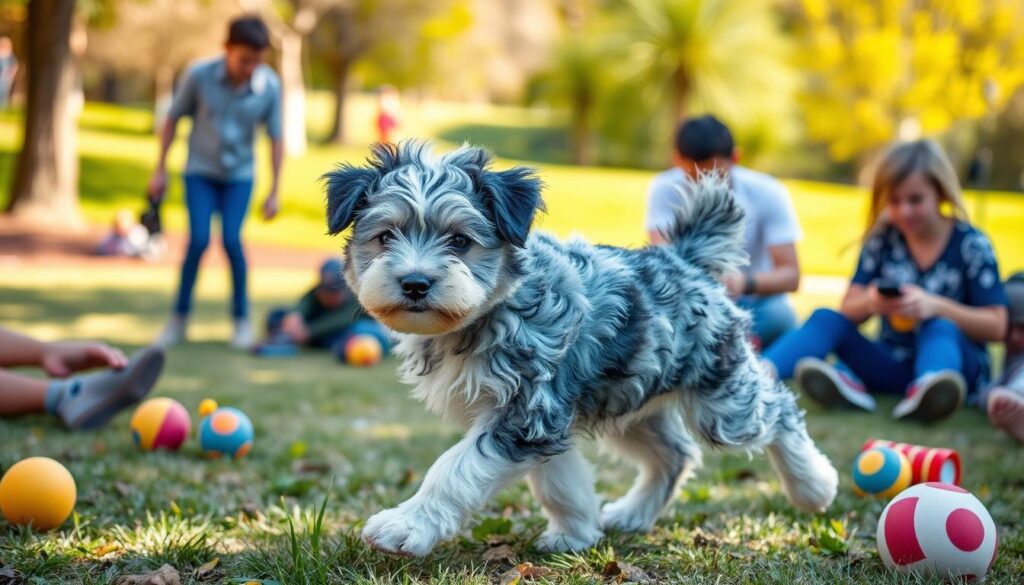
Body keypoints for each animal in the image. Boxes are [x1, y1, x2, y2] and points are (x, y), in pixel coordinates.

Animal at [323, 139, 835, 557]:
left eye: (460, 240)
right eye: (385, 236)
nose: (414, 283)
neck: (492, 310)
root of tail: (682, 258)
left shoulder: (528, 409)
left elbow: (456, 469)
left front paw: (406, 526)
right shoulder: (546, 416)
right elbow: (558, 478)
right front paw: (575, 532)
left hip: (721, 400)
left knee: (779, 411)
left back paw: (814, 484)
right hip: (629, 398)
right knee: (675, 454)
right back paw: (633, 513)